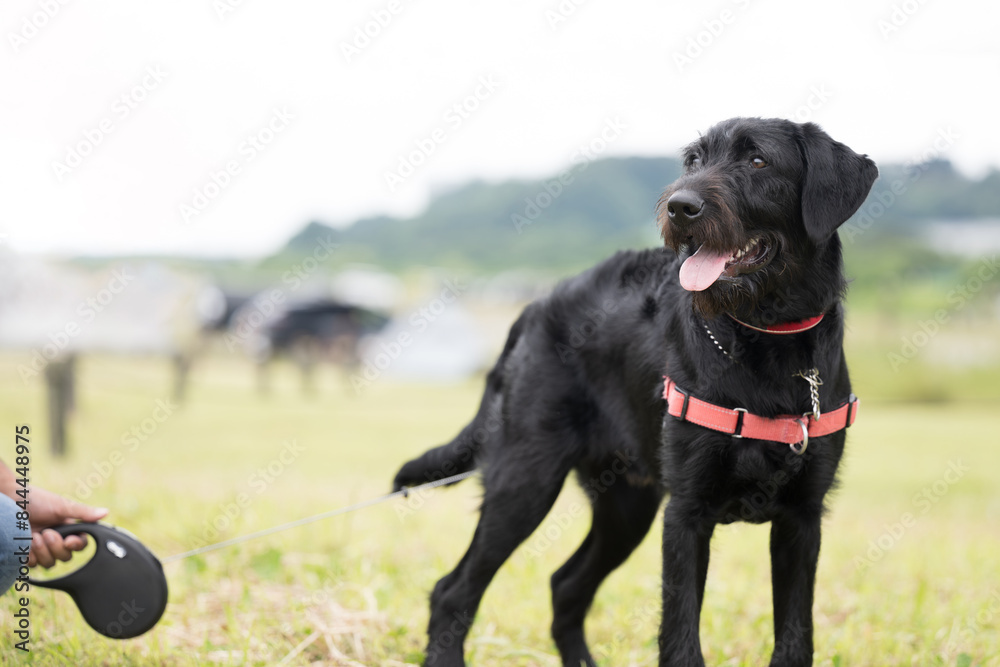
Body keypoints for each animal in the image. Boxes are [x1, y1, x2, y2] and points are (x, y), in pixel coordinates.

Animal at [390, 120, 876, 667]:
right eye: (693, 160)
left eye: (758, 161)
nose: (680, 206)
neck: (766, 340)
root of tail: (535, 307)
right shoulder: (685, 515)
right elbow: (680, 637)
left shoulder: (802, 519)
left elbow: (795, 640)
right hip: (525, 480)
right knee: (453, 591)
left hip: (625, 506)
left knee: (565, 585)